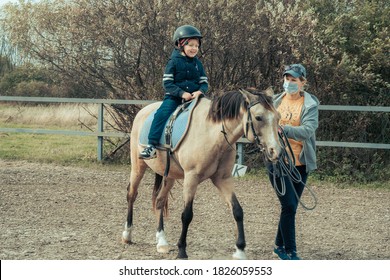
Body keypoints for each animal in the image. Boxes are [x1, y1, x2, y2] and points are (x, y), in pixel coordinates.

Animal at [122, 88, 280, 260]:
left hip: (169, 176)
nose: (276, 151)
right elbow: (187, 215)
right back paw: (127, 234)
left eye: (277, 116)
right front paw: (182, 250)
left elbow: (237, 210)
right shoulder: (191, 178)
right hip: (138, 167)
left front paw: (240, 250)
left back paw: (162, 242)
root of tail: (143, 111)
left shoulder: (223, 179)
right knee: (131, 194)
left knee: (159, 201)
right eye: (258, 117)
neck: (212, 134)